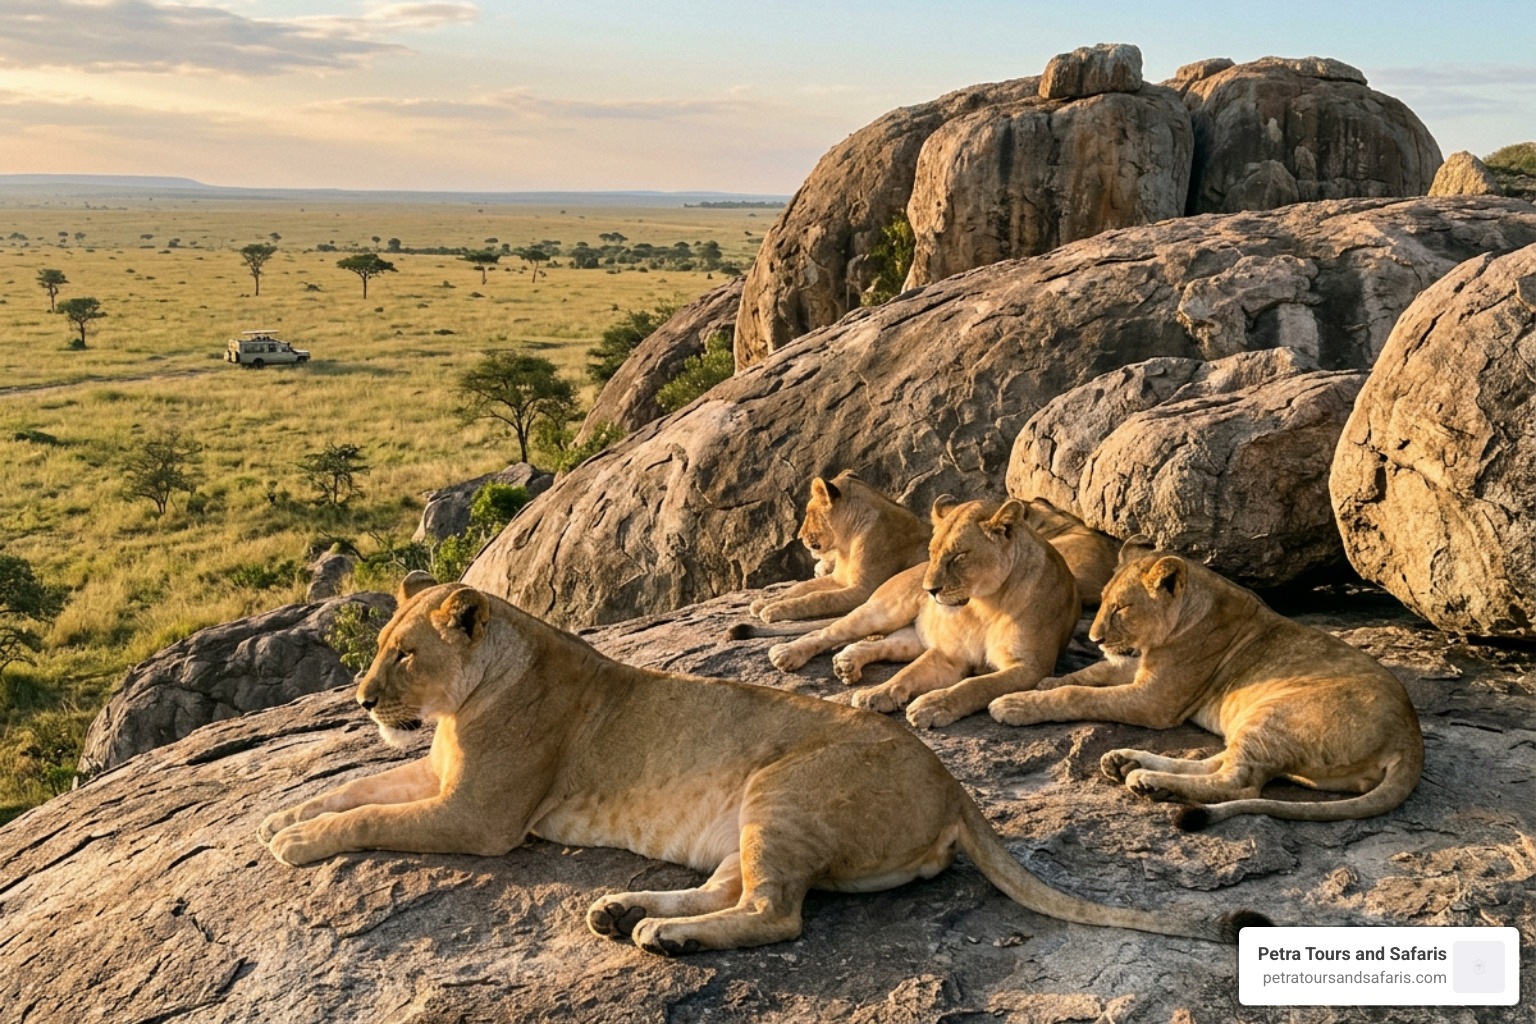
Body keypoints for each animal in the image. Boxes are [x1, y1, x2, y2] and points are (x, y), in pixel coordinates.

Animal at [258, 573, 1264, 953]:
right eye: (378, 649)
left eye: (403, 656)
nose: (361, 700)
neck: (460, 708)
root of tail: (951, 784)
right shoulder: (439, 777)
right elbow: (360, 783)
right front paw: (283, 814)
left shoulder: (479, 818)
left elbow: (371, 815)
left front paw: (297, 842)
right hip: (749, 812)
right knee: (731, 887)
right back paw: (623, 911)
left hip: (781, 789)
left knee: (775, 914)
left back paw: (664, 937)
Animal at [733, 470, 930, 637]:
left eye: (809, 512)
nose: (799, 536)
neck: (847, 542)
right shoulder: (838, 579)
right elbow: (801, 588)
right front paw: (763, 603)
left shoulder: (863, 590)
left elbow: (818, 597)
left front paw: (772, 609)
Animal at [766, 497, 1080, 730]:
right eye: (932, 552)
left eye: (959, 556)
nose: (929, 590)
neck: (986, 605)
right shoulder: (950, 654)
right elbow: (910, 672)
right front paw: (878, 693)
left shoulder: (1031, 667)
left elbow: (976, 685)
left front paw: (930, 705)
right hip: (883, 609)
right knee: (828, 632)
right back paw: (786, 653)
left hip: (911, 639)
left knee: (877, 644)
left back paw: (847, 663)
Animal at [988, 538, 1424, 828]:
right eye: (1105, 600)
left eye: (1122, 608)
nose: (1094, 639)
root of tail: (1410, 739)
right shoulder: (1139, 671)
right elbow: (1089, 676)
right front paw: (1043, 683)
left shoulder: (1156, 701)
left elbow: (1079, 694)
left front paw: (1015, 703)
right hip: (1259, 726)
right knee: (1219, 762)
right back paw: (1130, 763)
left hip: (1276, 715)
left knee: (1239, 785)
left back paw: (1147, 780)